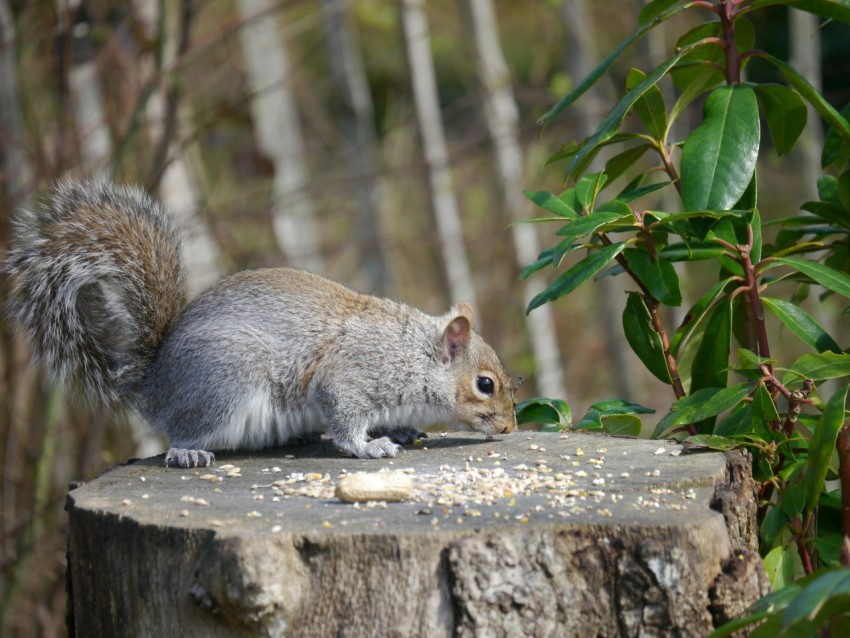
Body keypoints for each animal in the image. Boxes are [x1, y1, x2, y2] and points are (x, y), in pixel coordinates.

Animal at [4, 178, 516, 468]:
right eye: (485, 384)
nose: (511, 427)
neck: (414, 353)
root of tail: (154, 386)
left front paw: (401, 431)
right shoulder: (354, 372)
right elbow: (345, 417)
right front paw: (370, 447)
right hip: (227, 376)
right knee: (185, 430)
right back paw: (187, 451)